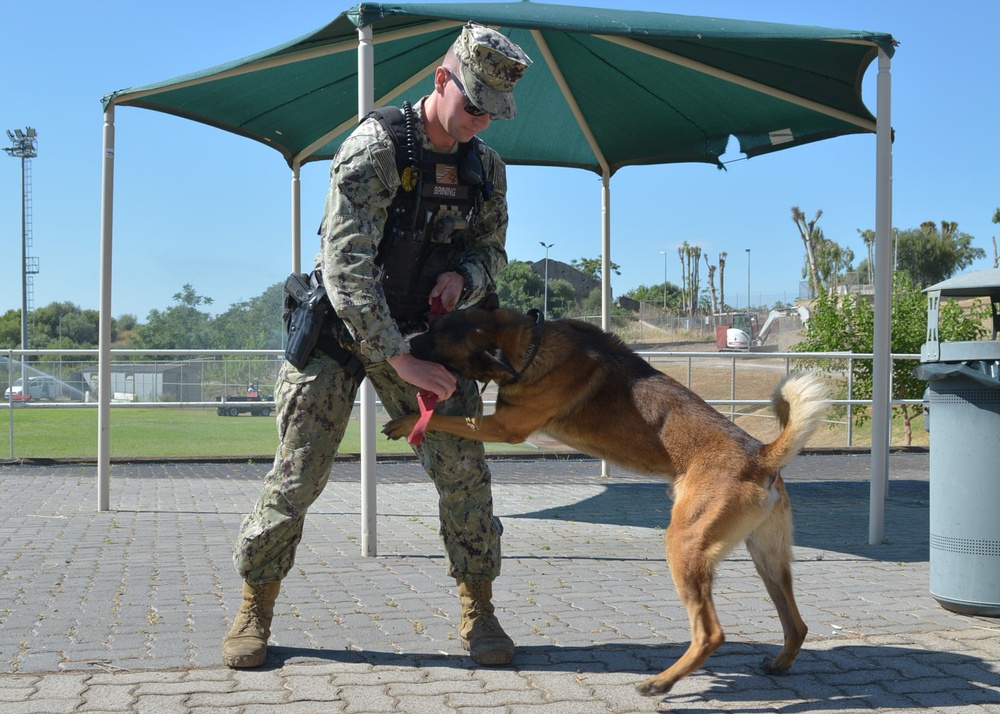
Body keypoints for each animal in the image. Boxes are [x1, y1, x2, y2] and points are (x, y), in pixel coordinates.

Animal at [382, 294, 828, 688]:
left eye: (435, 340)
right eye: (433, 325)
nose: (402, 343)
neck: (528, 344)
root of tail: (762, 456)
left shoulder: (499, 427)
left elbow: (442, 417)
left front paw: (407, 421)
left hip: (684, 545)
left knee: (711, 633)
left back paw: (661, 682)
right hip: (768, 558)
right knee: (798, 624)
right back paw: (778, 664)